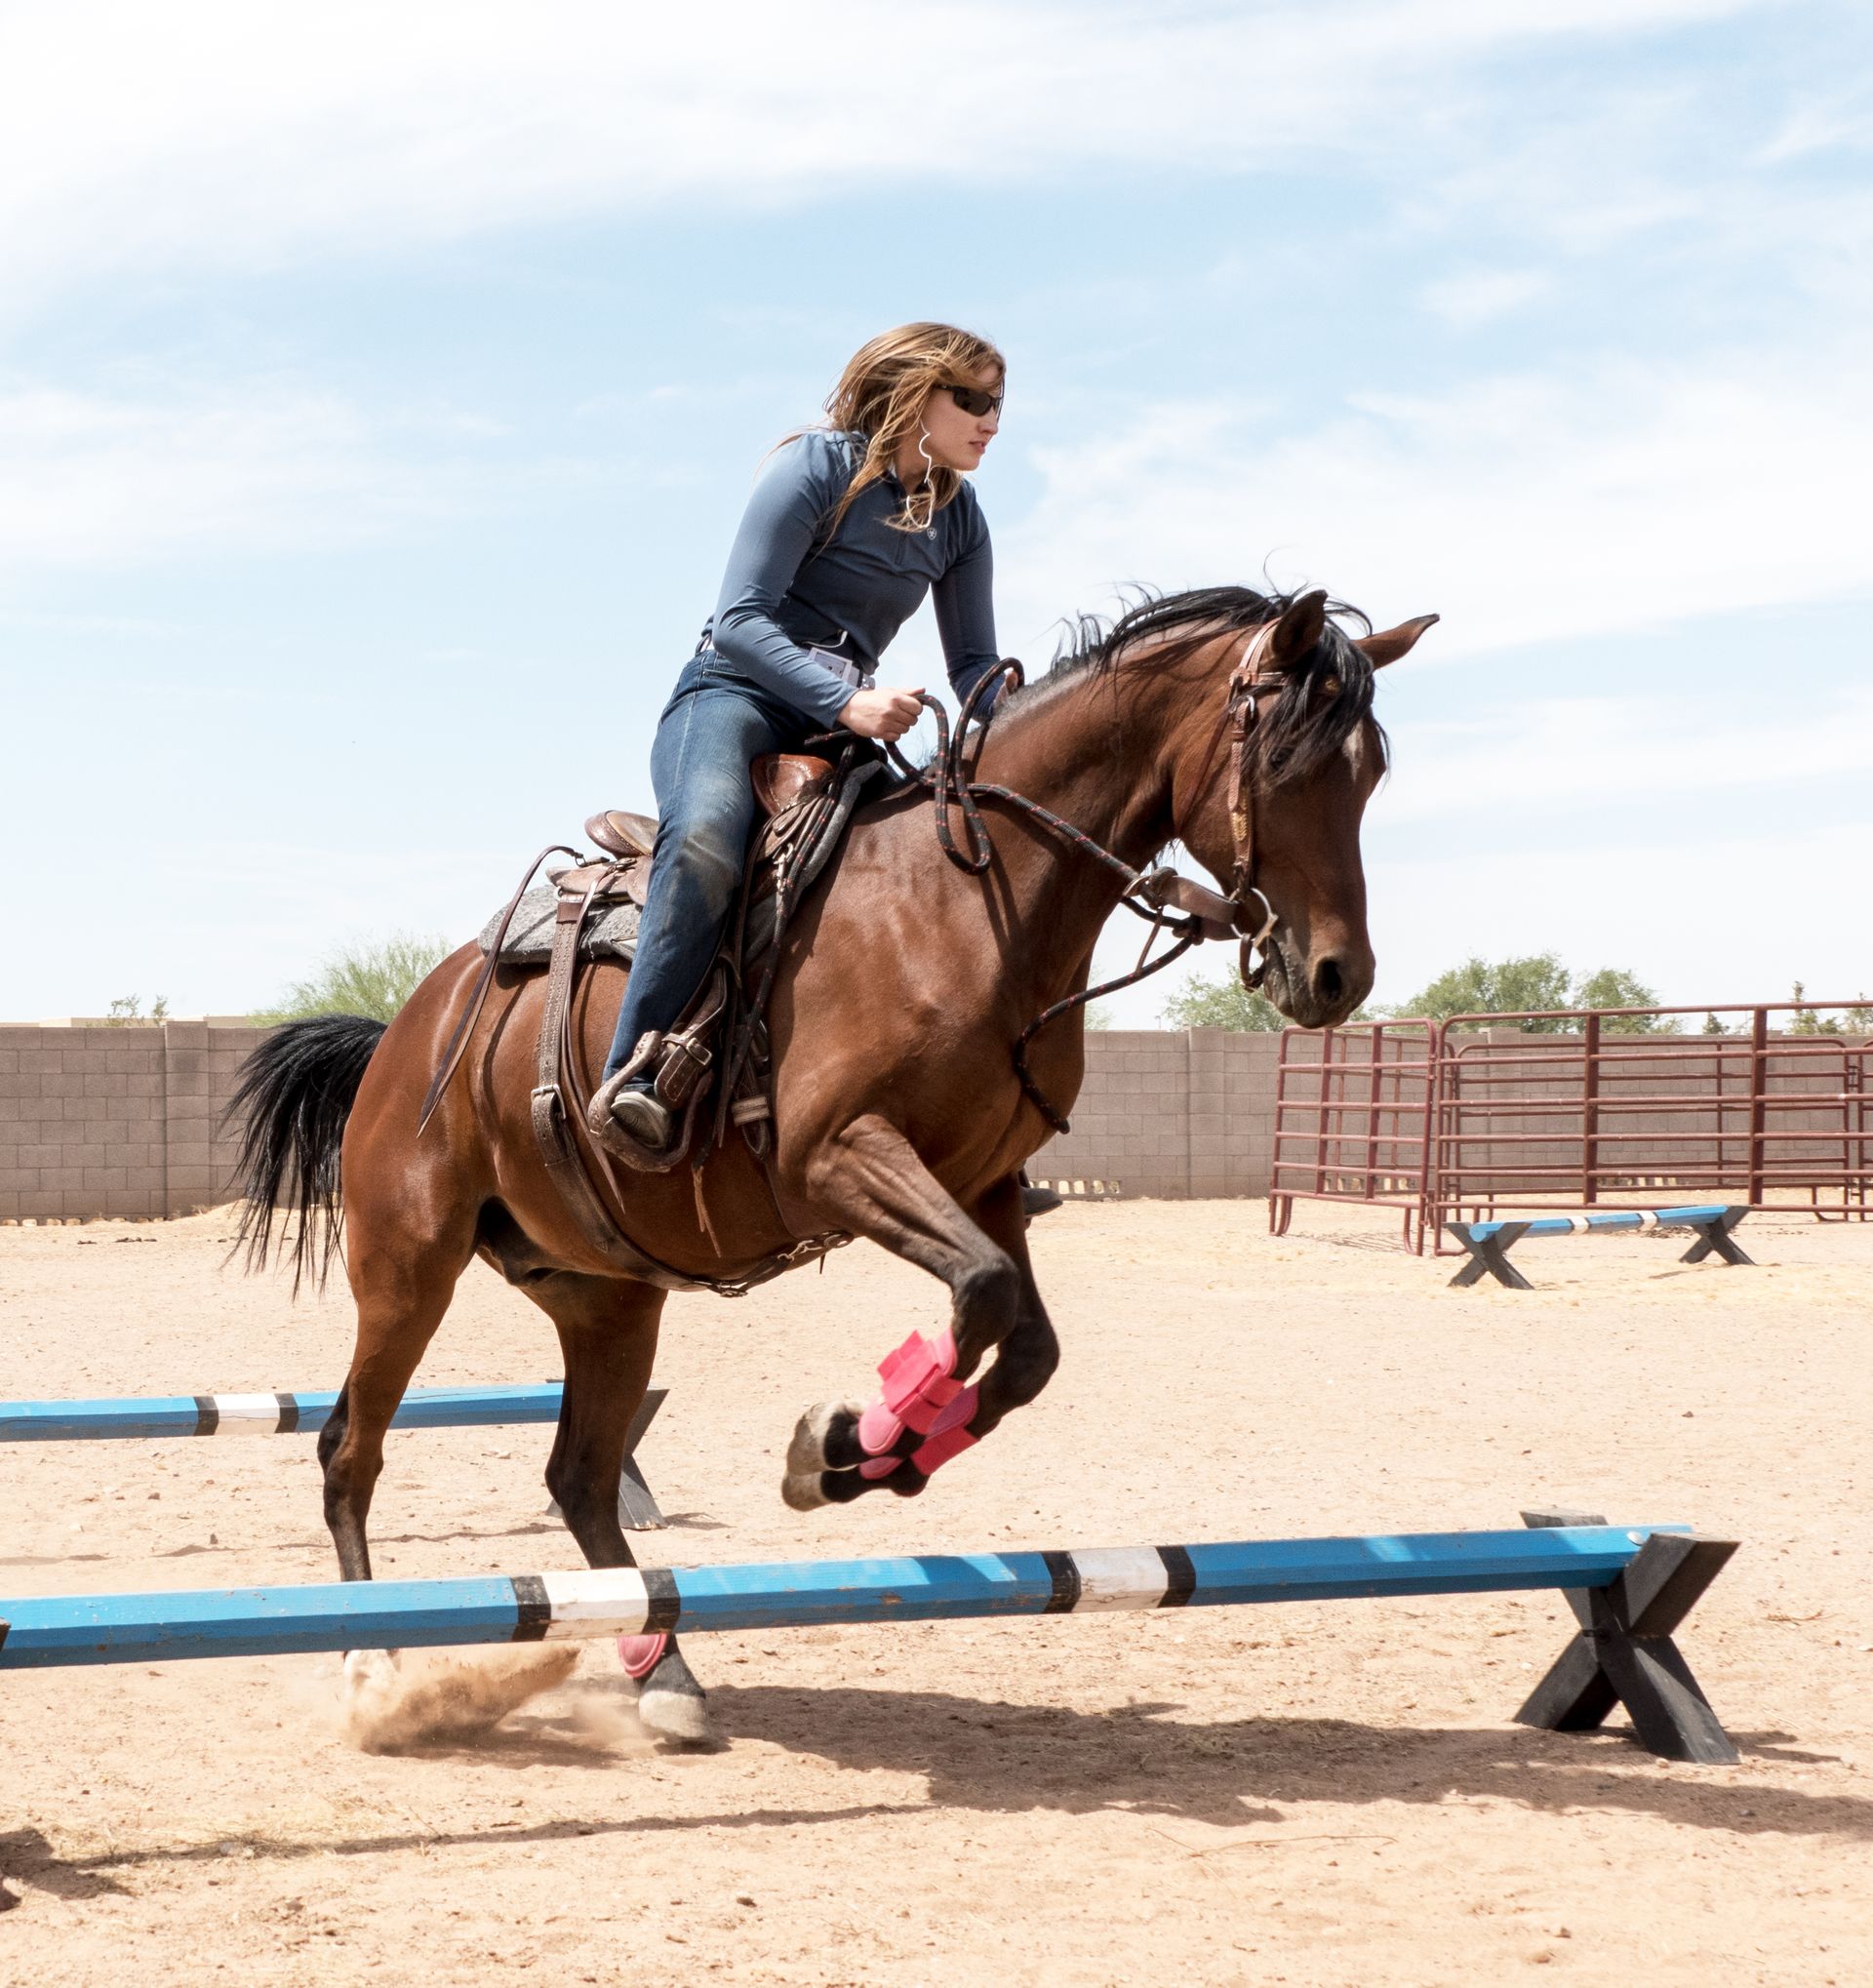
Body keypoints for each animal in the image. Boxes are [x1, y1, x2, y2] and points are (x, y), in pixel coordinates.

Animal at [227, 583, 1435, 1744]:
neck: (971, 899)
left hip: (606, 1296)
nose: (1338, 975)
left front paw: (861, 1456)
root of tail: (407, 1025)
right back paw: (375, 1669)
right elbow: (982, 1296)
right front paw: (845, 1444)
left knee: (579, 1479)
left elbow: (1023, 1343)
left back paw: (666, 1678)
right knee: (348, 1449)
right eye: (1283, 759)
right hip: (407, 1267)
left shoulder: (984, 1186)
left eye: (1372, 772)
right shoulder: (837, 1155)